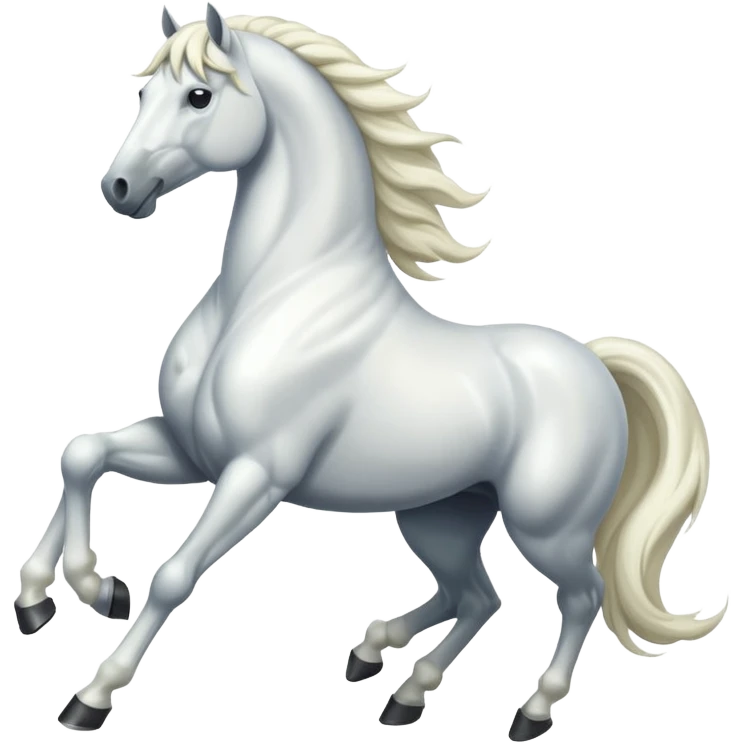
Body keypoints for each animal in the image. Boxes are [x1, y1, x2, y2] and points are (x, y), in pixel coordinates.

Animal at [16, 4, 724, 738]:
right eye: (144, 91)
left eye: (200, 96)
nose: (120, 187)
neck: (273, 295)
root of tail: (594, 363)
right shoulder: (190, 451)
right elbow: (83, 454)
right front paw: (66, 593)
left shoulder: (256, 473)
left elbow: (173, 575)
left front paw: (92, 693)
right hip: (441, 514)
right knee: (476, 595)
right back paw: (391, 675)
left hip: (546, 527)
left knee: (580, 596)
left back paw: (527, 709)